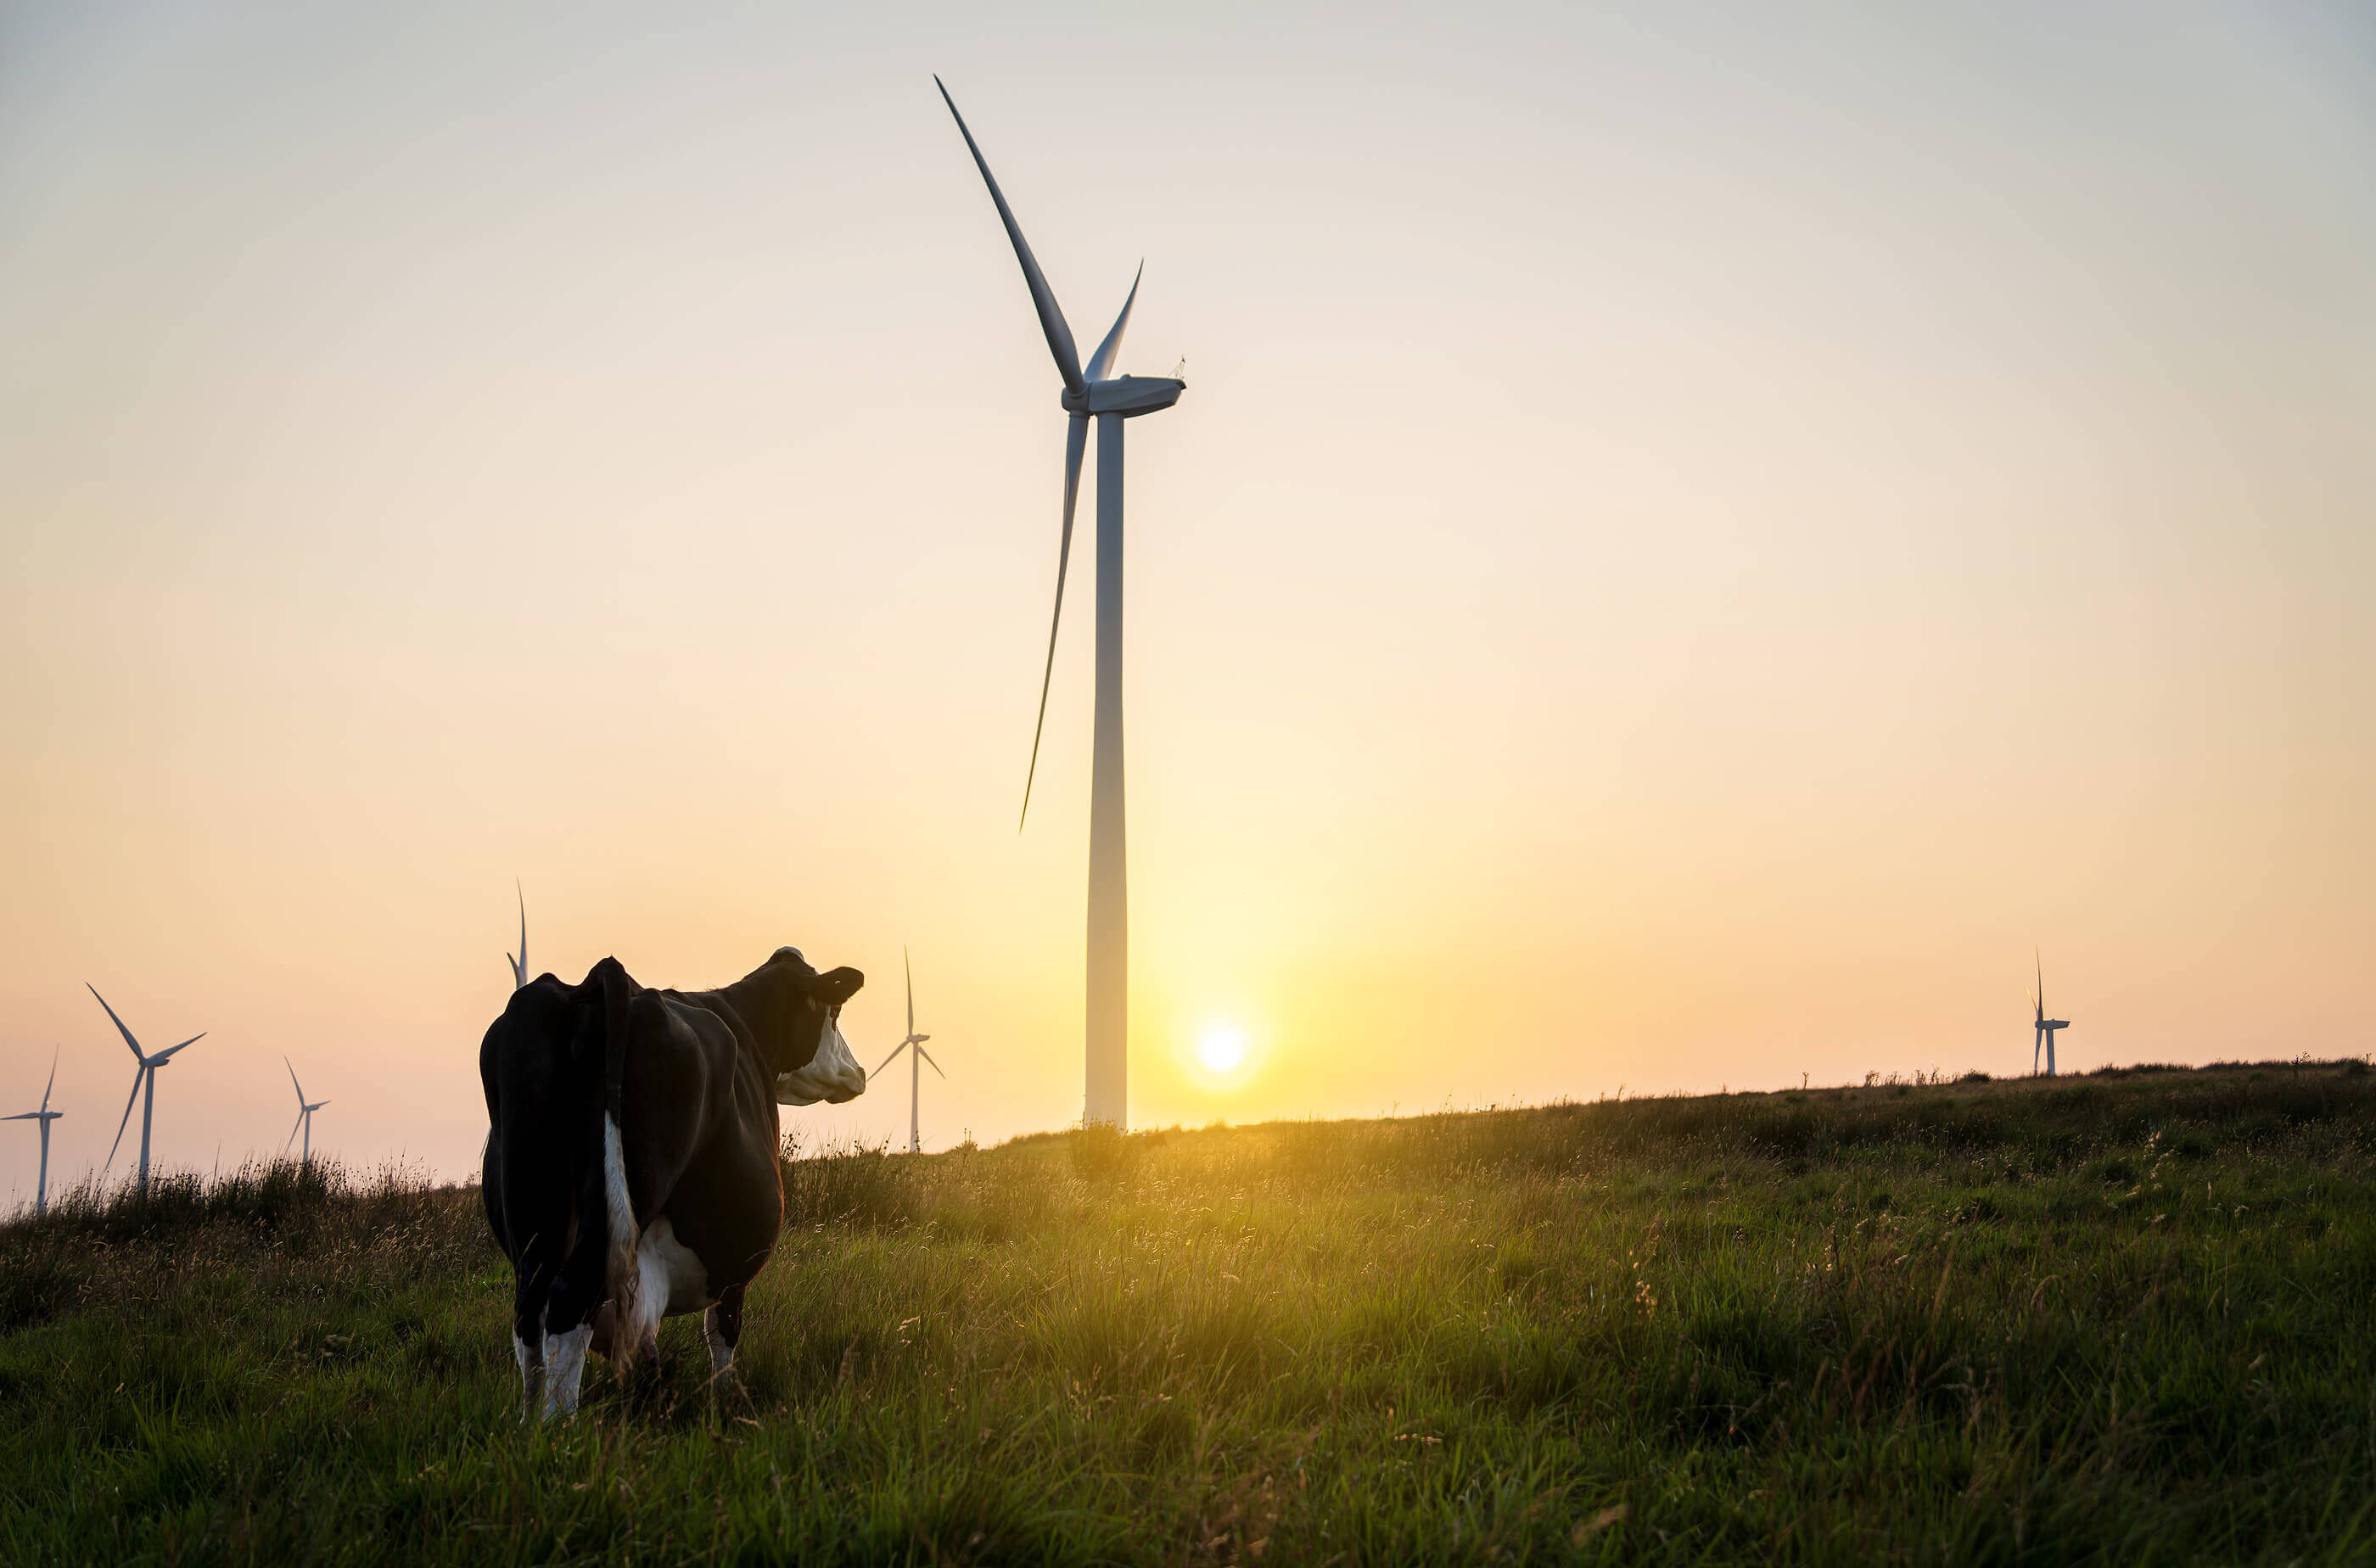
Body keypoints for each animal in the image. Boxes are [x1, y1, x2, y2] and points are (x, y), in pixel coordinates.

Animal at [475, 945, 865, 1425]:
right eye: (835, 1012)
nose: (858, 1072)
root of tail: (602, 977)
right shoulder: (734, 1264)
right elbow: (723, 1334)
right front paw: (727, 1401)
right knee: (570, 1298)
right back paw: (560, 1428)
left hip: (532, 1204)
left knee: (530, 1310)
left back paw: (530, 1426)